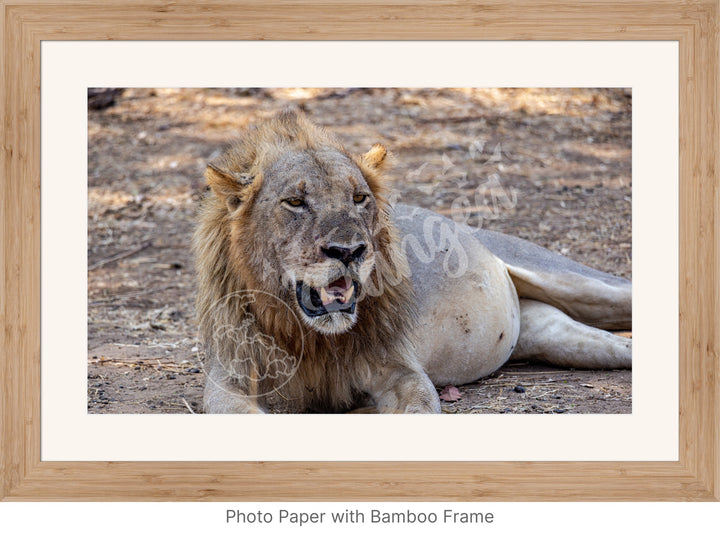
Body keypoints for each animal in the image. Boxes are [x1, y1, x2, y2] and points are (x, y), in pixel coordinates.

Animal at [193, 108, 632, 410]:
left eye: (359, 198)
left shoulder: (402, 371)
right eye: (295, 202)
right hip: (558, 336)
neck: (312, 338)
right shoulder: (229, 379)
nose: (349, 251)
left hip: (577, 282)